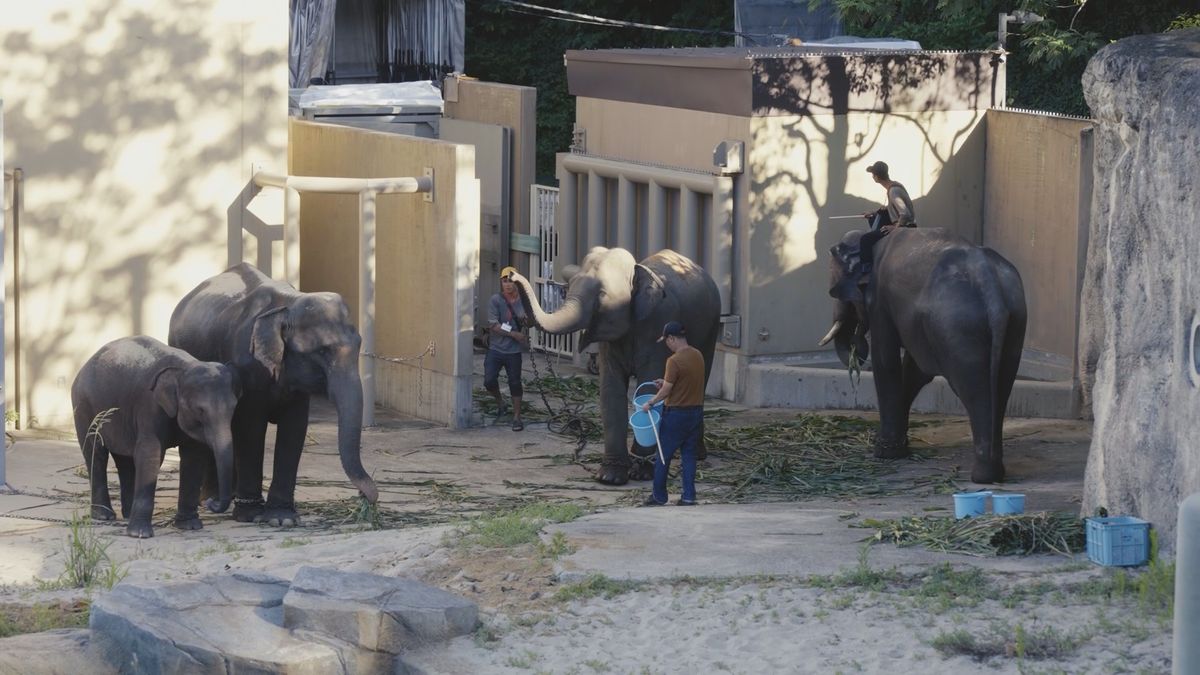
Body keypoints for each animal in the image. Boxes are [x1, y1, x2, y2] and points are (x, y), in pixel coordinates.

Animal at [70, 333, 241, 535]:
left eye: (233, 408)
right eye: (200, 410)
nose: (210, 502)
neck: (184, 368)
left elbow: (193, 457)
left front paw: (190, 526)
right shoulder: (150, 406)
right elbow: (150, 454)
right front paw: (139, 534)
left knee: (125, 459)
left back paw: (127, 513)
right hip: (83, 406)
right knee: (96, 453)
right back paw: (104, 516)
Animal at [166, 260, 376, 523]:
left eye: (359, 345)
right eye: (322, 351)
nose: (364, 497)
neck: (288, 305)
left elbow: (295, 426)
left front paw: (282, 518)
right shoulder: (247, 363)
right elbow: (251, 427)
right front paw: (251, 515)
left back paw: (227, 497)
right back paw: (211, 500)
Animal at [508, 247, 720, 482]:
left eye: (601, 295)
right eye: (570, 285)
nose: (512, 275)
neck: (637, 272)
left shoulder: (659, 324)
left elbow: (647, 386)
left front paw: (642, 472)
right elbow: (610, 389)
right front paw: (610, 477)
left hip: (711, 328)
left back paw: (694, 455)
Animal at [820, 228, 1027, 480]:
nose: (857, 350)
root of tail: (991, 288)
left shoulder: (880, 302)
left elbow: (886, 361)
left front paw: (885, 453)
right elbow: (915, 372)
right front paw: (899, 447)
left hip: (958, 327)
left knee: (973, 389)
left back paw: (982, 475)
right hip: (1013, 323)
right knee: (1001, 386)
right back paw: (994, 473)